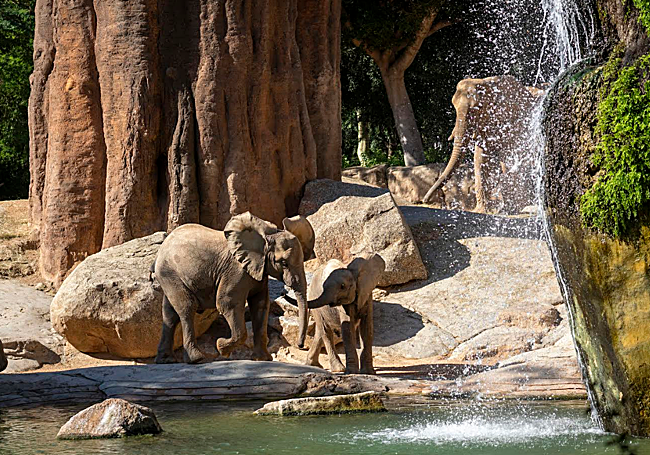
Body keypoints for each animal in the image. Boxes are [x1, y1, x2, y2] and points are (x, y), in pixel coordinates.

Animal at [154, 212, 315, 364]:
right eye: (283, 263)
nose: (301, 346)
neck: (265, 238)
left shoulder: (259, 272)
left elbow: (261, 305)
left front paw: (263, 359)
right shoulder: (236, 271)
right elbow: (227, 303)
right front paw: (221, 347)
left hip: (169, 276)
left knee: (169, 314)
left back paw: (166, 360)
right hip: (170, 273)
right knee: (186, 309)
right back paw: (196, 359)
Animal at [423, 75, 539, 213]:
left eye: (476, 108)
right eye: (454, 106)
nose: (425, 200)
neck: (488, 82)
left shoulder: (516, 123)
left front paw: (513, 208)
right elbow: (480, 159)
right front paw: (481, 210)